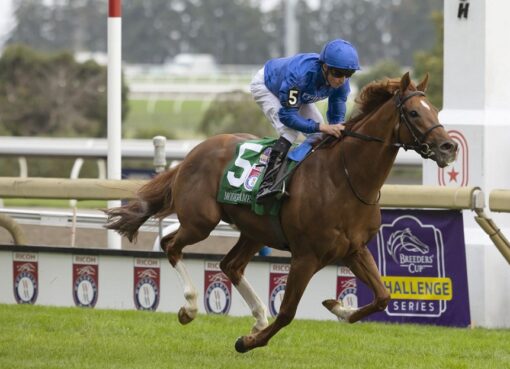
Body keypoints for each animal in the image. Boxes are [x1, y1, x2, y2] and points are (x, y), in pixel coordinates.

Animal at [104, 72, 458, 350]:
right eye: (414, 112)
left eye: (435, 109)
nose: (449, 147)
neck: (345, 178)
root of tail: (194, 152)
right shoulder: (306, 257)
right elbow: (287, 312)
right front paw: (247, 343)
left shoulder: (354, 249)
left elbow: (383, 296)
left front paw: (338, 307)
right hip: (200, 221)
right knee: (171, 245)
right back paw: (190, 307)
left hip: (253, 230)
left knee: (230, 265)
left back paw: (259, 316)